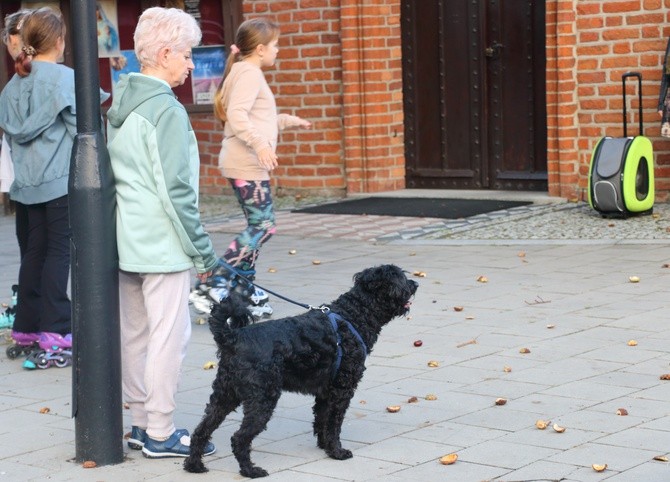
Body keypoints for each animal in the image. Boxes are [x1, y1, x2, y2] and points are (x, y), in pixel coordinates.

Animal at [186, 266, 418, 476]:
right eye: (398, 277)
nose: (415, 284)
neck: (354, 315)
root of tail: (232, 337)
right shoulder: (342, 390)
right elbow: (334, 423)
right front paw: (337, 452)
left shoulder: (326, 391)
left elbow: (322, 420)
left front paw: (325, 447)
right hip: (262, 399)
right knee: (239, 438)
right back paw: (250, 470)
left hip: (225, 395)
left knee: (201, 430)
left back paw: (194, 465)